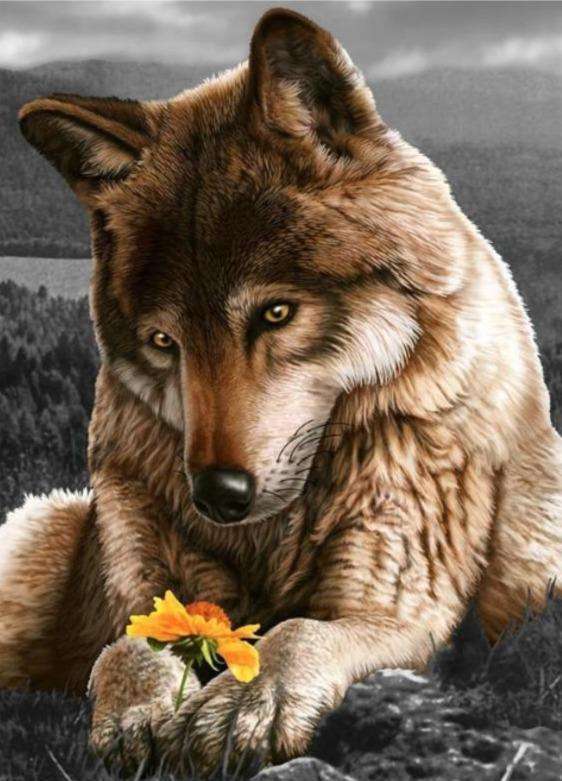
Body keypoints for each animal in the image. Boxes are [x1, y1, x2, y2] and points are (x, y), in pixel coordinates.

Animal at [2, 6, 561, 775]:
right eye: (164, 342)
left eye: (275, 313)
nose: (216, 495)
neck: (274, 535)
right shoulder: (147, 585)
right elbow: (128, 645)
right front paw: (141, 713)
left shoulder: (398, 608)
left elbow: (296, 630)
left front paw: (246, 701)